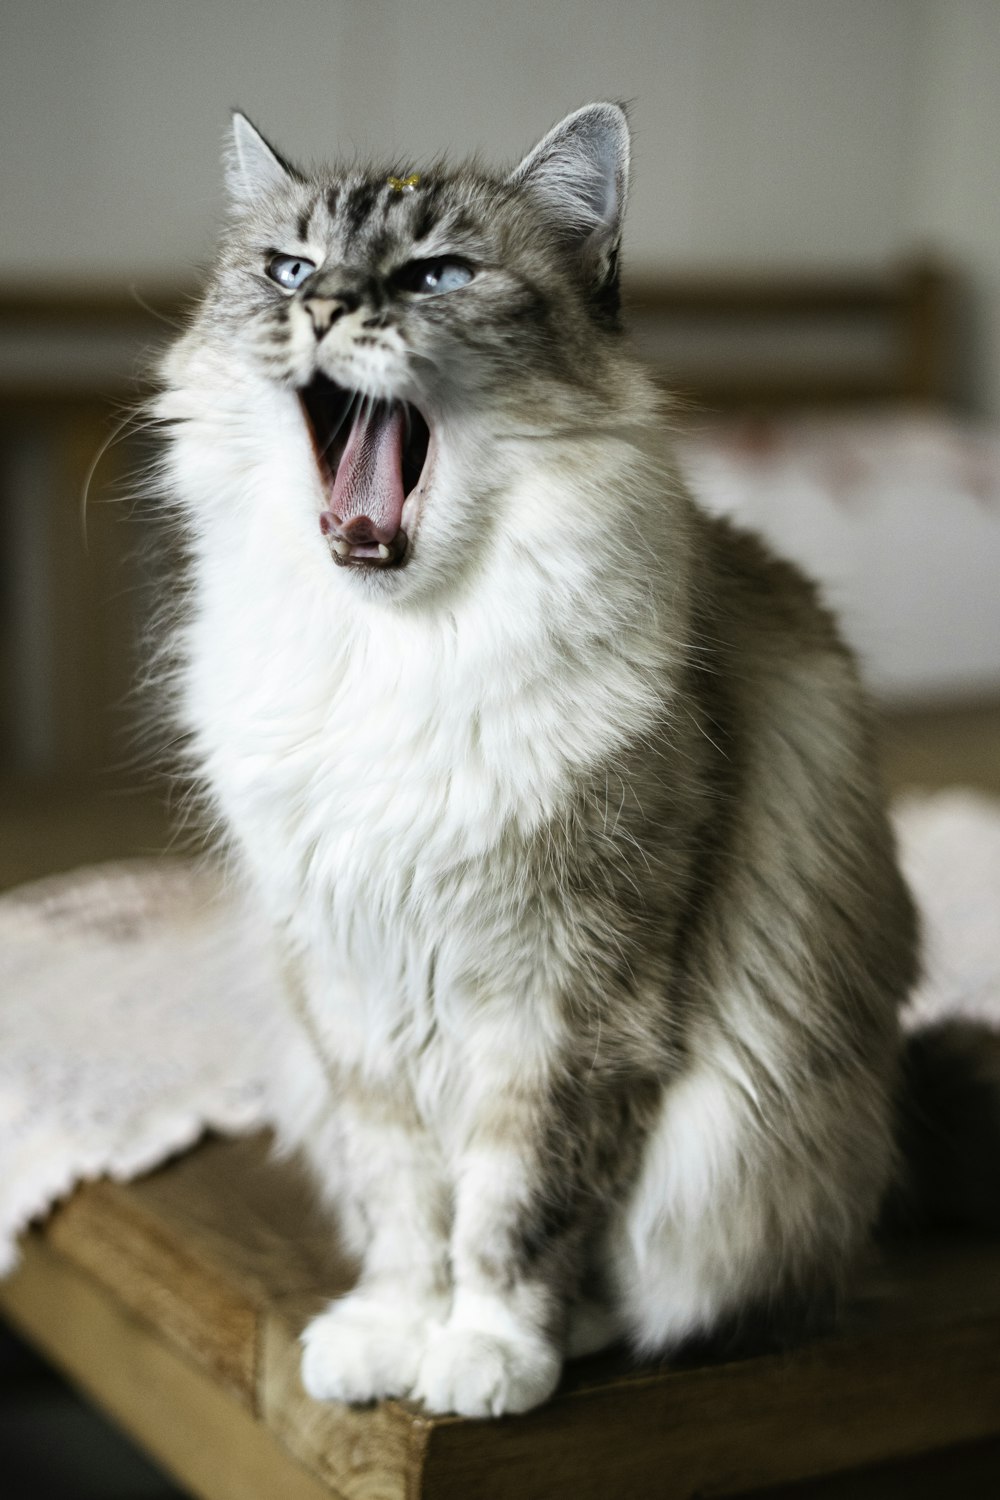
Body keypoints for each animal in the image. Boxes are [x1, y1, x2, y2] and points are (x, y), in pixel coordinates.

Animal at [158, 105, 923, 1416]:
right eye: (291, 270)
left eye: (436, 276)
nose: (325, 311)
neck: (392, 654)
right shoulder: (353, 1001)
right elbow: (406, 1208)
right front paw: (389, 1340)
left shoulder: (566, 1003)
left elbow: (514, 1217)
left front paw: (486, 1358)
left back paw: (581, 1335)